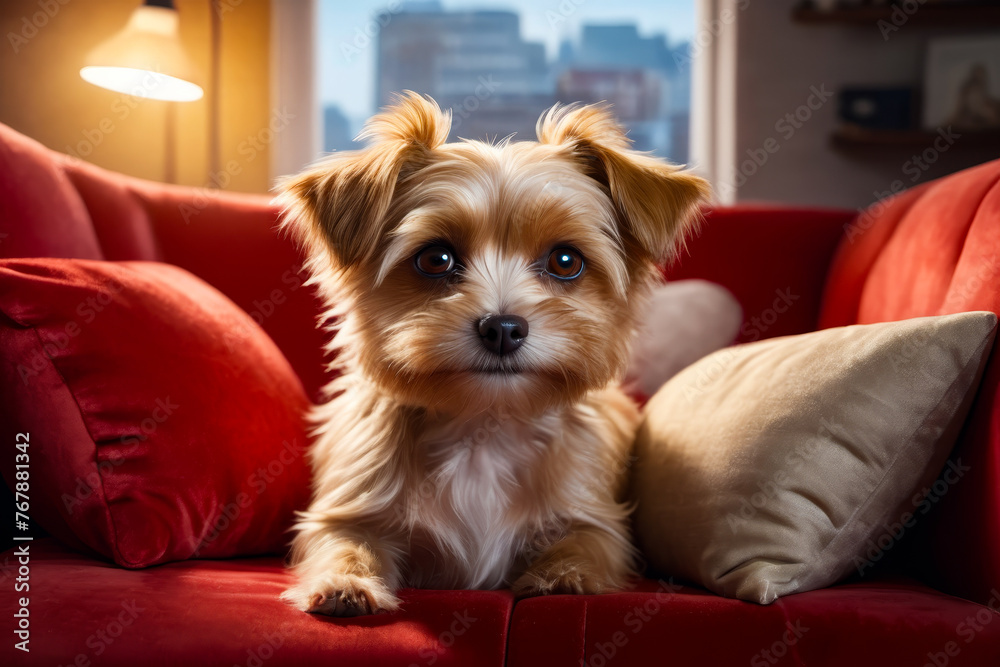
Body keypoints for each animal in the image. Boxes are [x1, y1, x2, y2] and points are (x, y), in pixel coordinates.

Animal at [278, 92, 708, 616]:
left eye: (566, 260)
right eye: (435, 258)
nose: (502, 328)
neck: (484, 425)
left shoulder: (596, 518)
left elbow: (586, 544)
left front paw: (560, 577)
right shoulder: (347, 509)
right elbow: (345, 543)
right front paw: (347, 583)